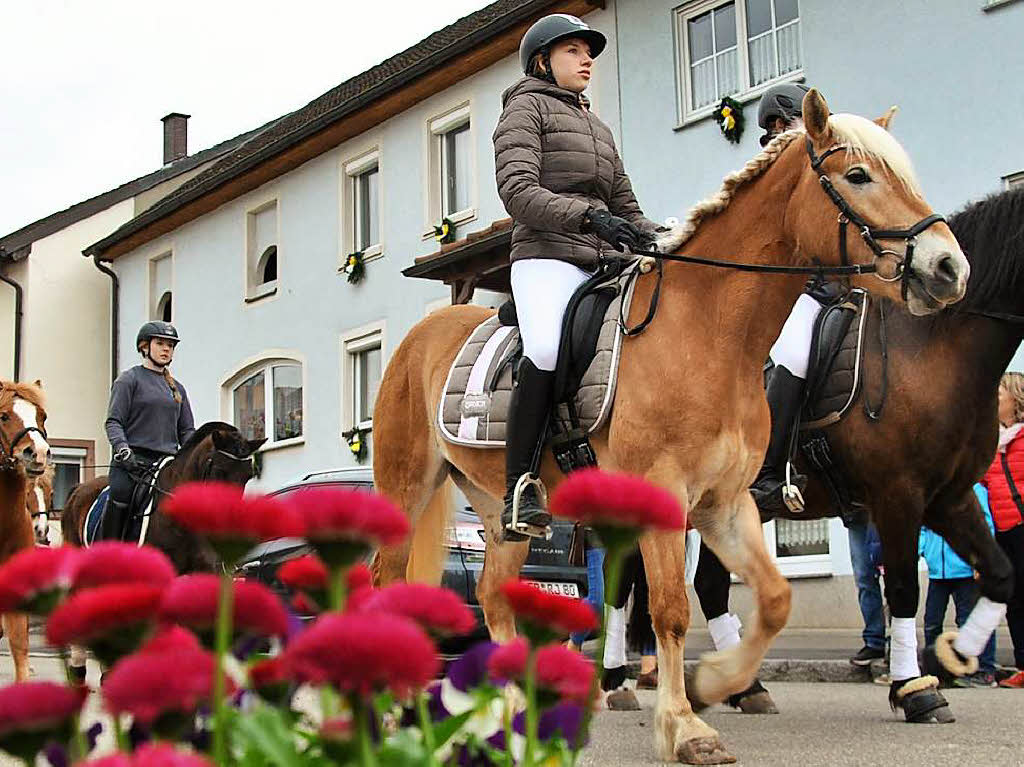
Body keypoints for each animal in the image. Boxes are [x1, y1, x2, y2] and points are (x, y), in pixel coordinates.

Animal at [374, 88, 966, 761]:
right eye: (859, 176)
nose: (949, 267)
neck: (710, 334)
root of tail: (420, 336)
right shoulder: (663, 497)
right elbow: (671, 611)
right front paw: (686, 725)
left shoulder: (725, 504)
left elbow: (775, 598)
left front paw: (717, 684)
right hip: (406, 488)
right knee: (385, 582)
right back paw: (390, 709)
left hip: (502, 512)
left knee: (492, 594)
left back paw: (510, 709)